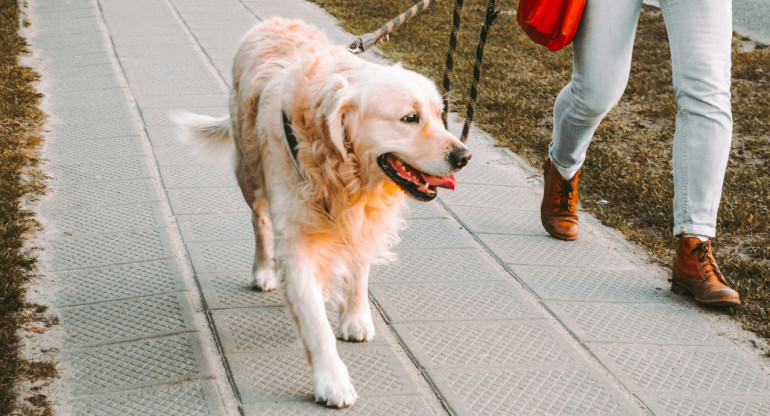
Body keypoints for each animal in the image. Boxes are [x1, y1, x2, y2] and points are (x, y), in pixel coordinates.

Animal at [174, 17, 468, 408]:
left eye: (439, 115)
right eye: (410, 118)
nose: (464, 156)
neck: (341, 169)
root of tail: (273, 21)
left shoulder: (361, 220)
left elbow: (359, 269)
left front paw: (355, 317)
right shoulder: (297, 244)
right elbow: (315, 325)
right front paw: (332, 381)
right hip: (249, 174)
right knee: (259, 222)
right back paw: (263, 270)